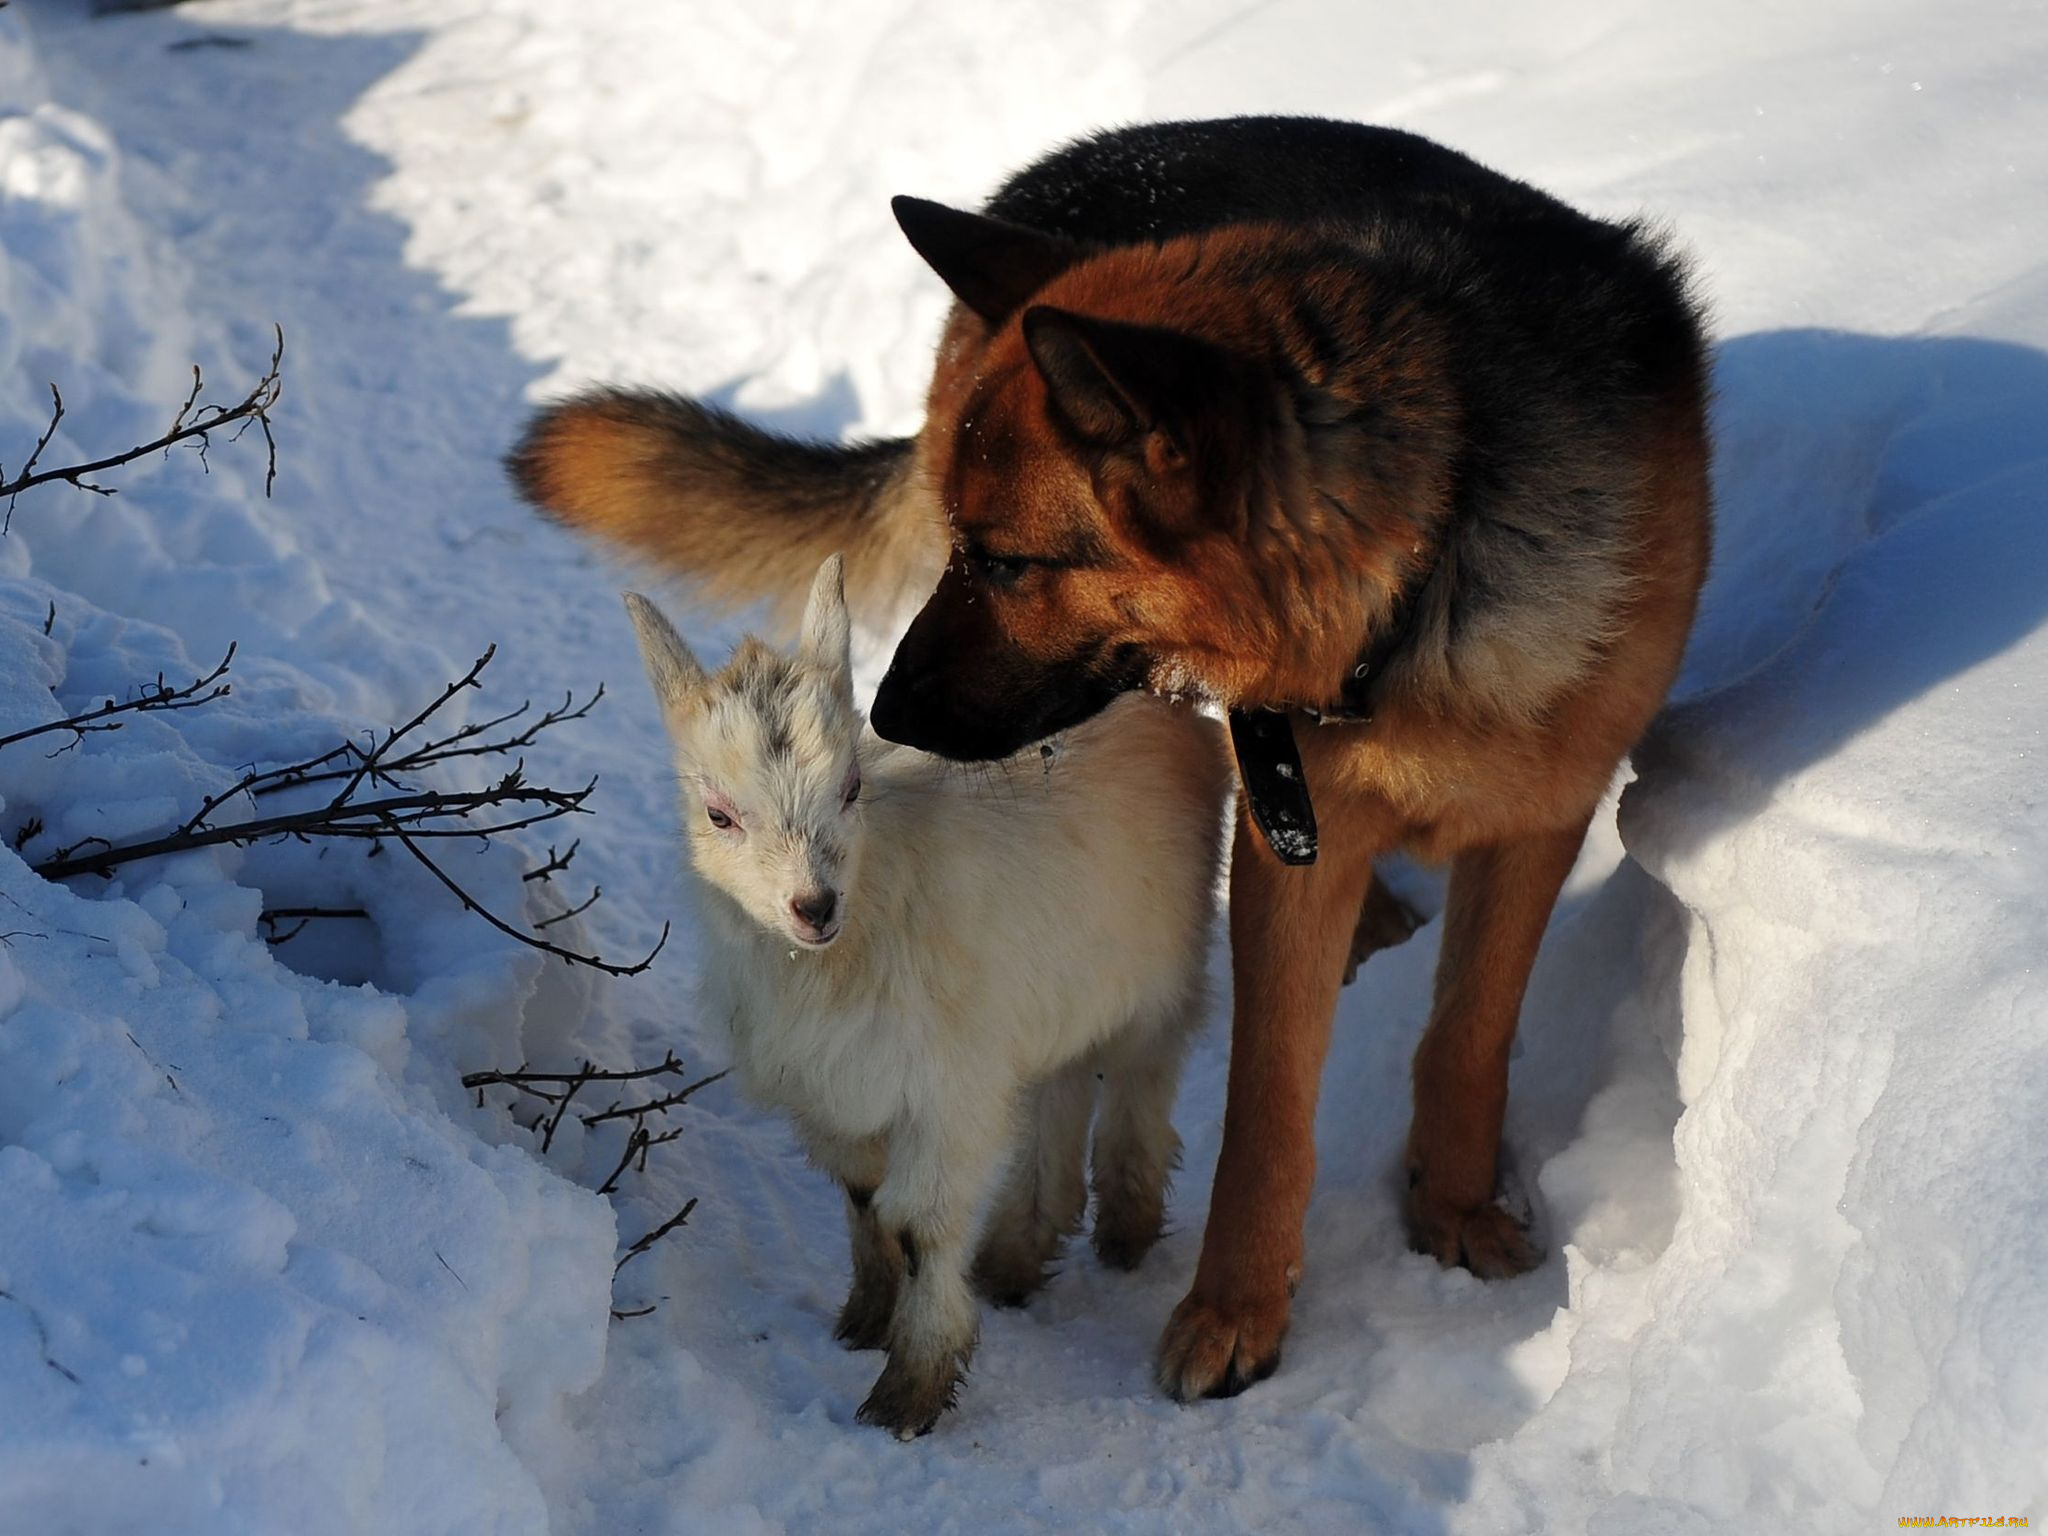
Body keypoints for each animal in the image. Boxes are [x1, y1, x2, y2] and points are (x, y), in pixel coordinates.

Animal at [512, 114, 1712, 1400]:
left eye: (1008, 564)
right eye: (963, 549)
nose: (886, 711)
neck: (1427, 570)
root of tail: (1064, 167)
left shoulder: (1541, 815)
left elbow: (1467, 1038)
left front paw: (1449, 1210)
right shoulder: (1290, 836)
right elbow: (1263, 1109)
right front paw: (1234, 1309)